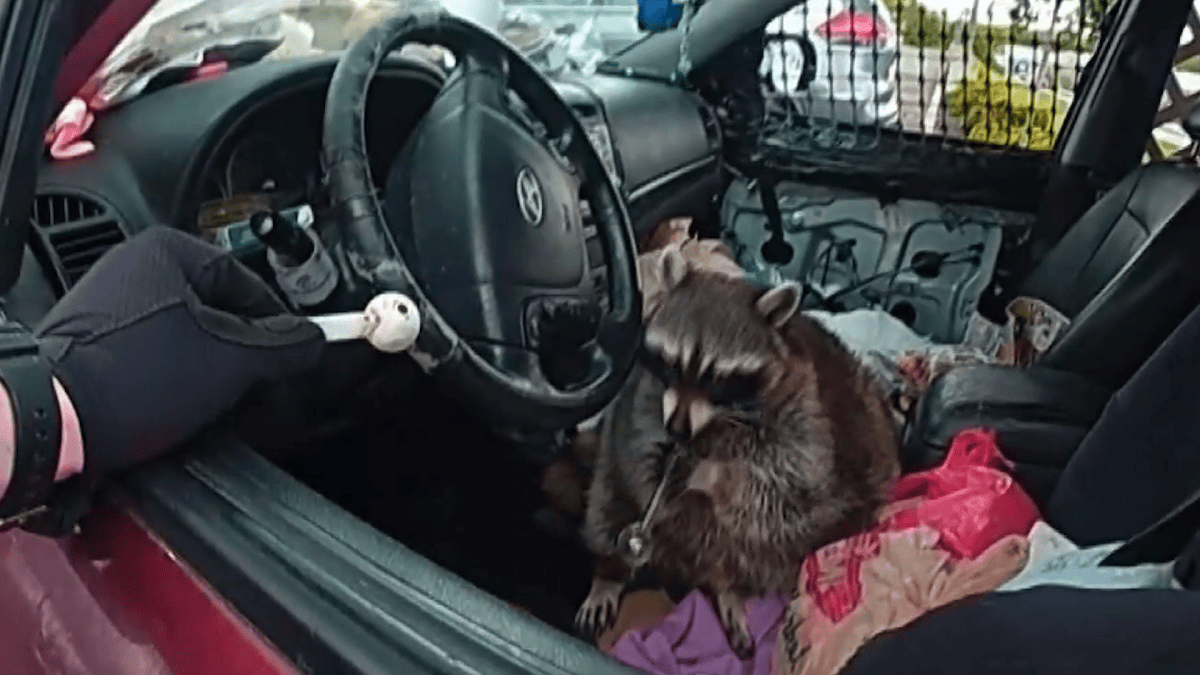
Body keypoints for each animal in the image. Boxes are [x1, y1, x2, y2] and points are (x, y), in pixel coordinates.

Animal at [575, 248, 900, 658]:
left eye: (717, 378)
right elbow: (637, 441)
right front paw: (663, 463)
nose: (678, 430)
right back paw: (610, 571)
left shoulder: (804, 414)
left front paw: (710, 474)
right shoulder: (643, 393)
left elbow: (785, 481)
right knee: (608, 499)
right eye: (672, 363)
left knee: (763, 538)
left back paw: (730, 587)